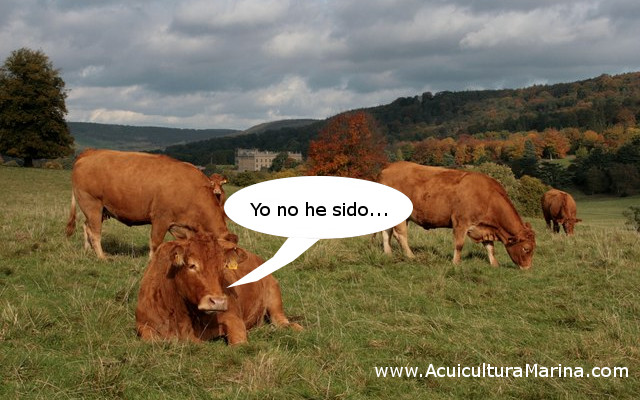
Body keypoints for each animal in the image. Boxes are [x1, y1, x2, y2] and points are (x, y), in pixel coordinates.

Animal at [65, 149, 236, 259]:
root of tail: (89, 152)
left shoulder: (181, 226)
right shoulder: (161, 219)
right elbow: (155, 243)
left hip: (101, 210)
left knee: (86, 226)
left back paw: (88, 251)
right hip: (92, 205)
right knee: (95, 232)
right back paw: (102, 257)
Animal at [135, 233, 302, 344]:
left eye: (223, 267)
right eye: (192, 265)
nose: (218, 301)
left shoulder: (234, 319)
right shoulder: (143, 324)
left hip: (273, 293)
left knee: (280, 320)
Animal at [377, 161, 536, 269]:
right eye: (526, 248)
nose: (527, 268)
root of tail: (388, 167)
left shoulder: (484, 227)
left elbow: (490, 247)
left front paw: (495, 264)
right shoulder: (461, 222)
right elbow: (459, 244)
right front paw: (456, 262)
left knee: (387, 232)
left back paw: (388, 254)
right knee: (400, 235)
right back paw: (411, 256)